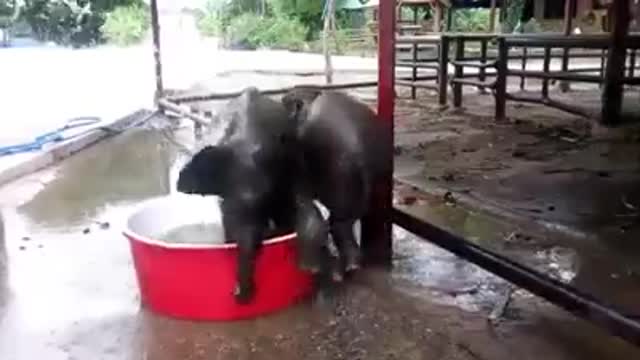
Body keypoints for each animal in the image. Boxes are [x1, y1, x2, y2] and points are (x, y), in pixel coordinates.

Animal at [282, 88, 392, 280]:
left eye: (286, 102)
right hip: (373, 188)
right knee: (346, 223)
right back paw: (353, 266)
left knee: (333, 224)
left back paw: (325, 269)